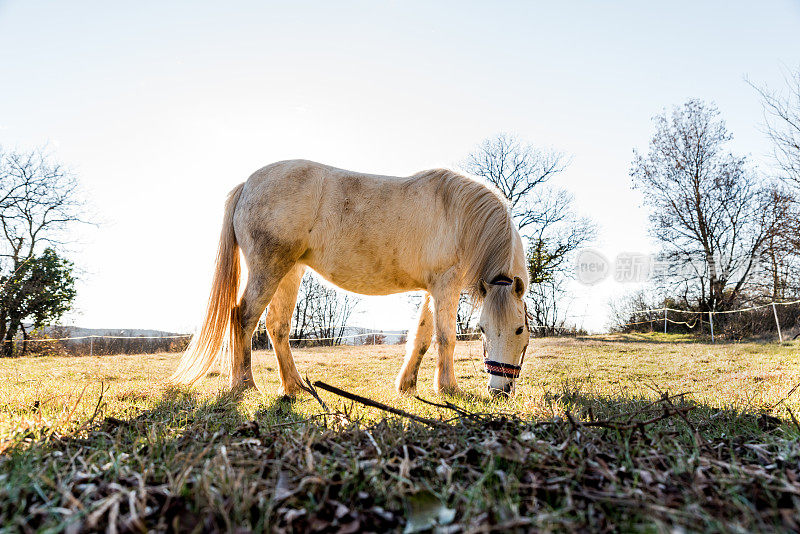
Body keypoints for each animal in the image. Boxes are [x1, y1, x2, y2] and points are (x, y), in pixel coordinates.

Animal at [170, 159, 532, 398]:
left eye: (519, 331)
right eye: (483, 329)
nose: (501, 390)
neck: (460, 218)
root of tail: (247, 184)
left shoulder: (434, 289)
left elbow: (422, 336)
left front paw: (407, 385)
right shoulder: (446, 285)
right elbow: (446, 338)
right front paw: (449, 389)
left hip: (289, 272)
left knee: (277, 325)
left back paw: (294, 387)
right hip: (268, 269)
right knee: (243, 317)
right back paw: (245, 384)